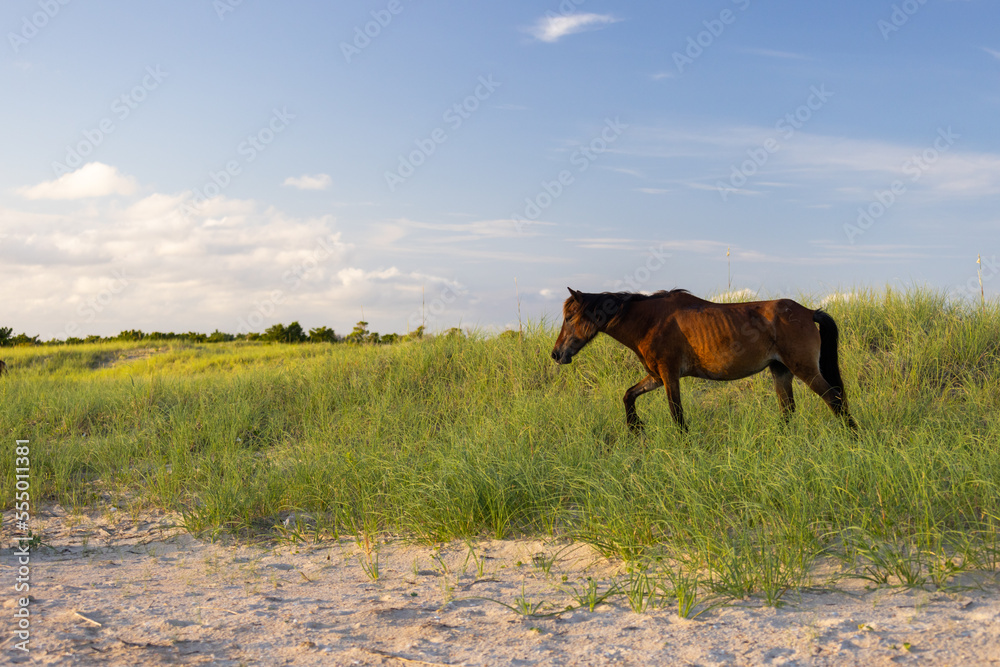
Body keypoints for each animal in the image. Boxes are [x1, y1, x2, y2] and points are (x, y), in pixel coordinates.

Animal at [551, 288, 857, 432]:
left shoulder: (669, 375)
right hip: (780, 371)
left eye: (570, 317)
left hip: (804, 369)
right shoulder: (656, 377)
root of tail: (809, 312)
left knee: (834, 399)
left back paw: (854, 439)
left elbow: (677, 415)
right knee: (788, 411)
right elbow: (628, 395)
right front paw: (635, 429)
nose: (557, 354)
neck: (650, 321)